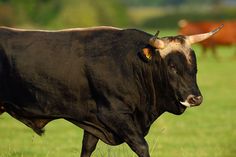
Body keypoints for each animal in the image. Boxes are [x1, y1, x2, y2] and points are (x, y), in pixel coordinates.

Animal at [0, 26, 205, 156]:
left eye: (194, 66)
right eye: (172, 66)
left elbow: (87, 148)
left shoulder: (93, 119)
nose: (195, 98)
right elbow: (141, 146)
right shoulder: (114, 115)